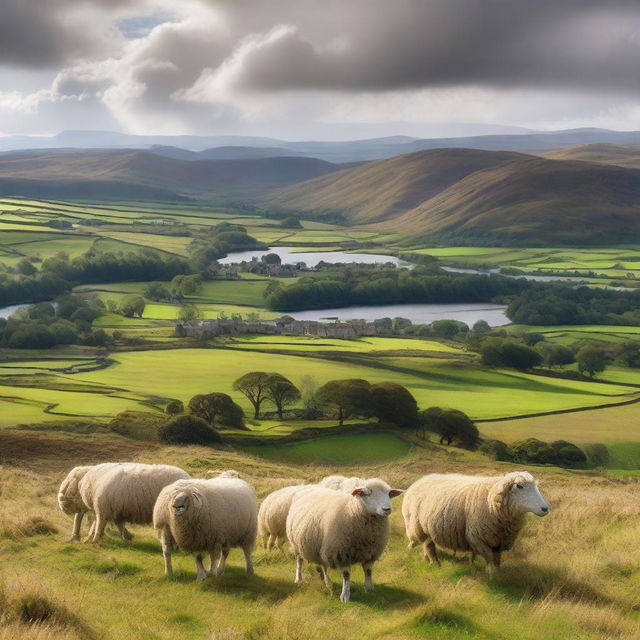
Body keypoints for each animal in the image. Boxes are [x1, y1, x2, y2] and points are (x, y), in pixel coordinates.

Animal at [402, 470, 548, 576]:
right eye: (519, 486)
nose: (545, 509)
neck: (491, 501)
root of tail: (420, 480)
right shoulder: (477, 539)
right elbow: (489, 560)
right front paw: (492, 575)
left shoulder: (498, 542)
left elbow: (497, 560)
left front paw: (497, 574)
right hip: (420, 527)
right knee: (429, 546)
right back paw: (434, 563)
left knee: (426, 546)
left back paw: (426, 558)